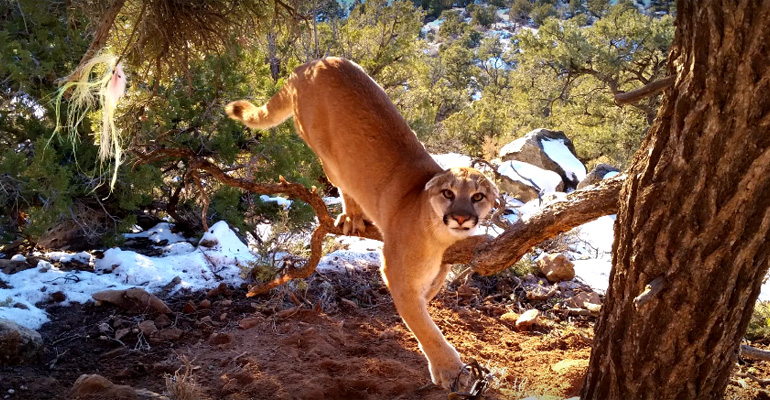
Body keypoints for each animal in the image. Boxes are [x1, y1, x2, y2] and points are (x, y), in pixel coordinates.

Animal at [222, 57, 498, 390]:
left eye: (478, 196)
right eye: (449, 193)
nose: (461, 217)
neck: (440, 234)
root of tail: (312, 62)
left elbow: (434, 287)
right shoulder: (397, 274)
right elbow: (423, 324)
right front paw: (450, 370)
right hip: (328, 156)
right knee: (342, 183)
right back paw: (352, 217)